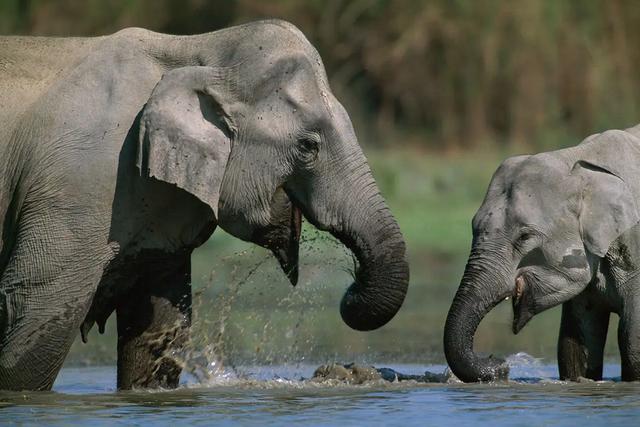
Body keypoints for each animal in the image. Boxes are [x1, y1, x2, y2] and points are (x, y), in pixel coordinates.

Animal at [0, 21, 410, 392]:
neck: (196, 50)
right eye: (308, 146)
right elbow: (36, 311)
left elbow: (160, 327)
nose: (350, 292)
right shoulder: (78, 188)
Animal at [442, 125, 640, 382]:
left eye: (524, 237)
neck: (579, 162)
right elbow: (575, 342)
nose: (500, 364)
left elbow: (632, 340)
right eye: (473, 227)